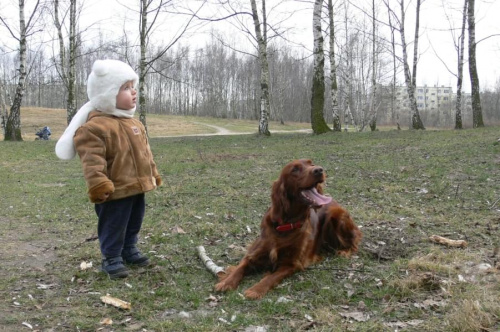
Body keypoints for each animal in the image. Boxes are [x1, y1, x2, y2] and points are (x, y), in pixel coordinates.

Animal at [213, 160, 362, 300]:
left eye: (311, 163)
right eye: (295, 169)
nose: (319, 170)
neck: (285, 225)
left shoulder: (292, 264)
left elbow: (271, 277)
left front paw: (255, 290)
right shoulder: (253, 254)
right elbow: (240, 267)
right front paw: (226, 282)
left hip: (337, 214)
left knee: (354, 243)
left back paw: (344, 252)